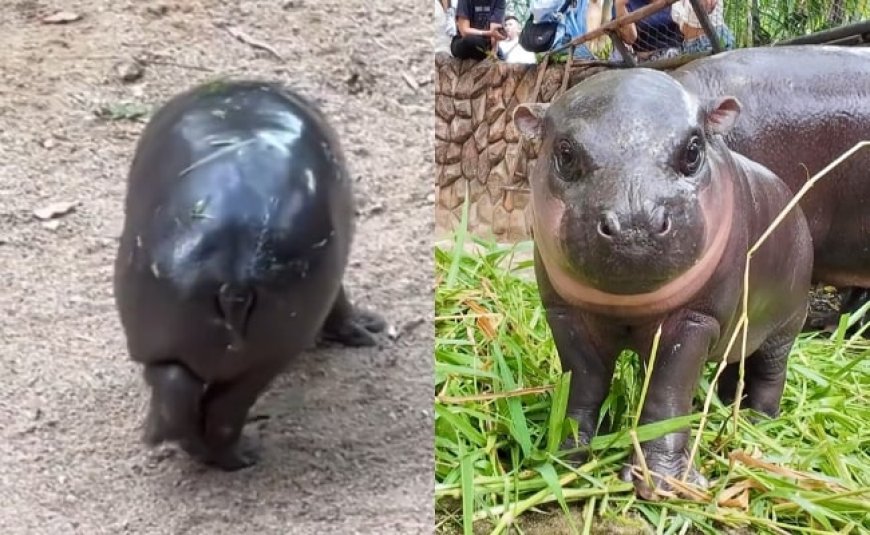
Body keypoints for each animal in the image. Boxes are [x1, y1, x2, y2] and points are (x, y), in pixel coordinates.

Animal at [114, 79, 386, 474]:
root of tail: (234, 281)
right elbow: (341, 300)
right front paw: (370, 328)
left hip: (178, 343)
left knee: (182, 394)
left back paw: (212, 452)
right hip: (267, 353)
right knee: (218, 410)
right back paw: (244, 456)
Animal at [510, 69, 816, 500]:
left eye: (693, 150)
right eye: (565, 153)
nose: (634, 224)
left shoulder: (696, 320)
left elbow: (667, 396)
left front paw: (661, 482)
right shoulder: (565, 315)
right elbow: (583, 384)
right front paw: (565, 457)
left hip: (785, 326)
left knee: (770, 373)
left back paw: (758, 425)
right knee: (732, 364)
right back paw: (726, 405)